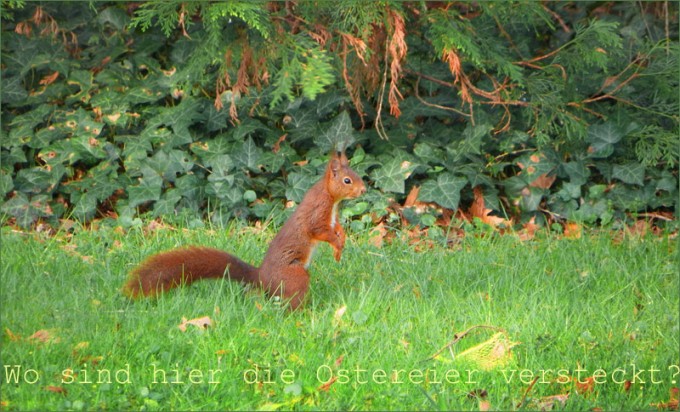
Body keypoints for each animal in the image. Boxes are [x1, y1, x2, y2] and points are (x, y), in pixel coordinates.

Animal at [122, 151, 366, 310]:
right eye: (347, 180)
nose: (364, 190)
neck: (330, 197)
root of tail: (262, 278)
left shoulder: (332, 218)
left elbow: (337, 228)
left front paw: (341, 241)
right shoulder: (317, 215)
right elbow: (320, 232)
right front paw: (336, 244)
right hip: (295, 276)